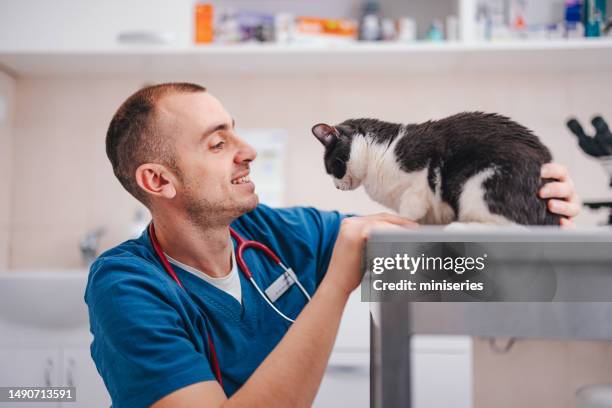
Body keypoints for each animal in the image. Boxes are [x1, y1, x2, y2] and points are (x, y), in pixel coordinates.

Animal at [314, 112, 560, 226]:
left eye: (332, 167)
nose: (337, 187)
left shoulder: (420, 175)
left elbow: (411, 206)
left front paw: (397, 221)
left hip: (482, 180)